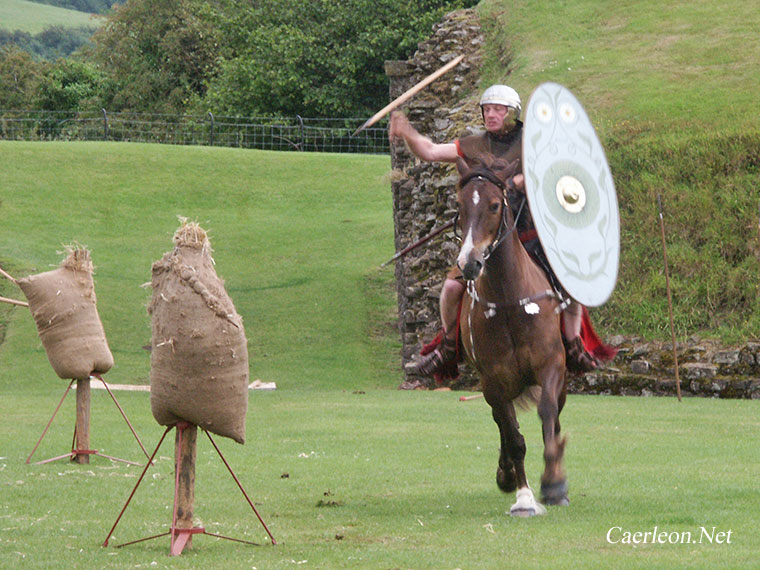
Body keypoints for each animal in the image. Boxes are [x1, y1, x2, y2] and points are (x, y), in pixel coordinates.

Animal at [454, 155, 568, 516]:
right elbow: (514, 438)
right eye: (460, 205)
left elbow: (548, 416)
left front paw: (554, 483)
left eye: (494, 205)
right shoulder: (494, 381)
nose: (469, 263)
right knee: (504, 424)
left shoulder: (552, 367)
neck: (508, 301)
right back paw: (505, 473)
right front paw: (524, 496)